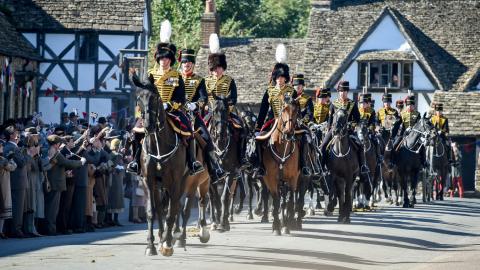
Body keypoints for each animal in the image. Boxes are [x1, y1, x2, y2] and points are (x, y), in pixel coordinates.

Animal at [135, 80, 189, 258]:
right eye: (138, 98)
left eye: (156, 97)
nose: (148, 125)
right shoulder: (148, 181)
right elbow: (151, 211)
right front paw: (150, 246)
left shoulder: (176, 182)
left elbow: (172, 211)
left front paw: (167, 244)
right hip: (159, 185)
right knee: (160, 209)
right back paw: (161, 237)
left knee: (175, 207)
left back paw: (170, 238)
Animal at [258, 94, 300, 234]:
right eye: (284, 110)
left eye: (296, 111)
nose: (289, 133)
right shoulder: (271, 179)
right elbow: (276, 201)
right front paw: (276, 226)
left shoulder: (293, 178)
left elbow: (290, 200)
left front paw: (288, 224)